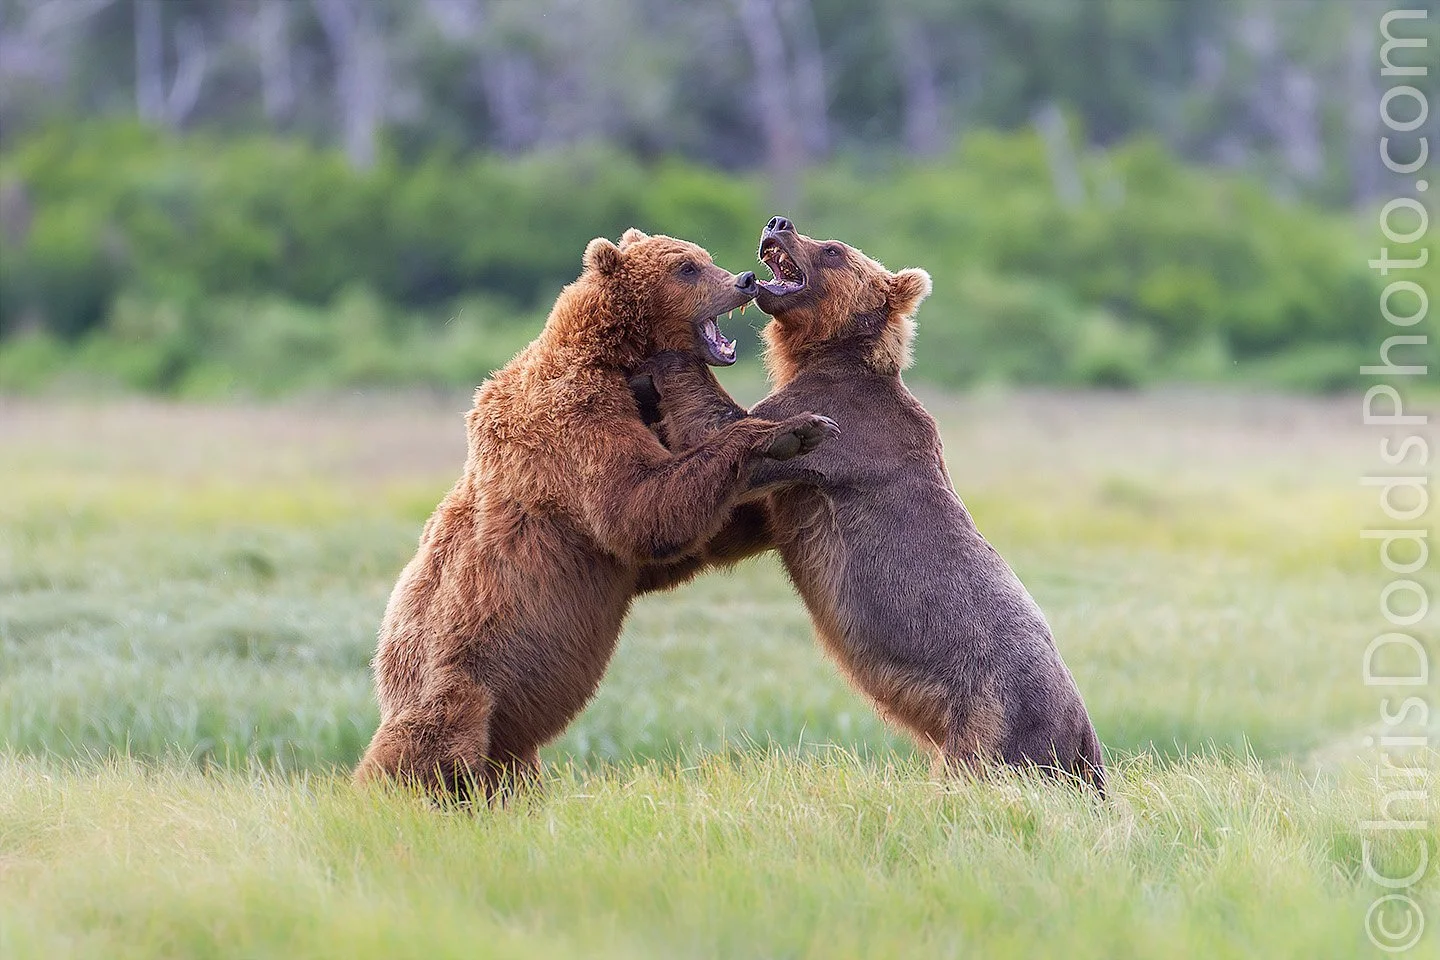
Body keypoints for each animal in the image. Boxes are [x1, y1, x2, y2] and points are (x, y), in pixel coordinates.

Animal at [354, 227, 839, 800]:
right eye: (686, 268)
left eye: (705, 257)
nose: (742, 279)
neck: (619, 362)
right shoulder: (576, 421)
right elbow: (639, 510)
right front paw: (790, 431)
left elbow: (679, 541)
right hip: (456, 678)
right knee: (423, 744)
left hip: (504, 725)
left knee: (509, 766)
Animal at [631, 217, 1105, 794]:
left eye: (833, 249)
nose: (778, 222)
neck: (825, 354)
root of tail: (1085, 736)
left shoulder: (842, 429)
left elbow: (729, 429)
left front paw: (671, 351)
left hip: (995, 719)